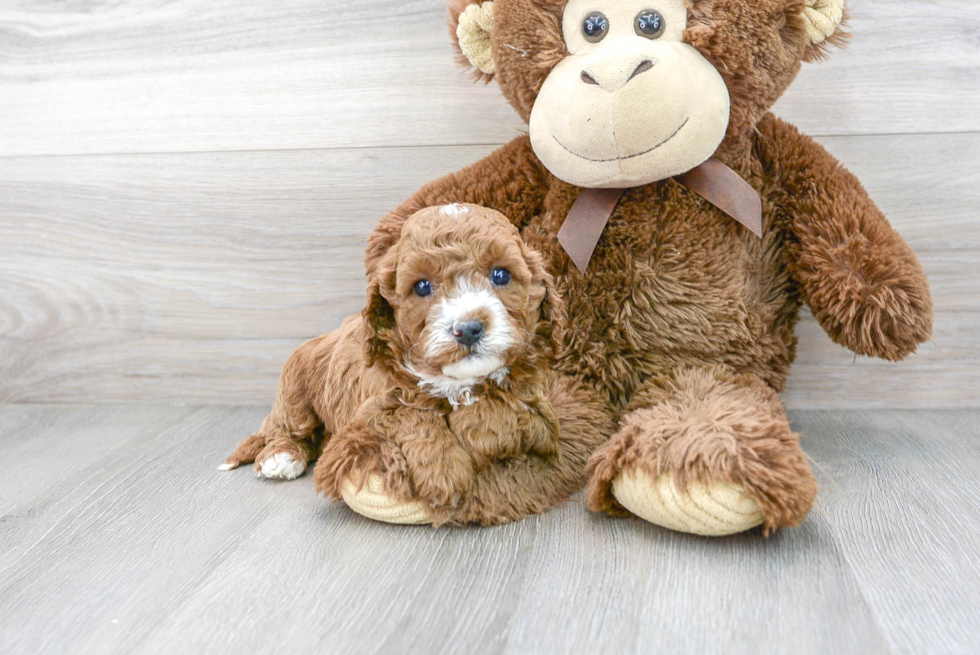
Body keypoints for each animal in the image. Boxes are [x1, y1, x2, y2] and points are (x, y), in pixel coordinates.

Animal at [224, 206, 612, 528]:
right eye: (422, 286)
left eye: (501, 275)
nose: (468, 328)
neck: (455, 381)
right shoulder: (371, 407)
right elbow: (409, 413)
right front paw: (443, 472)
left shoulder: (540, 412)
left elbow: (499, 407)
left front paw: (473, 431)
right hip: (295, 384)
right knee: (289, 427)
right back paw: (280, 457)